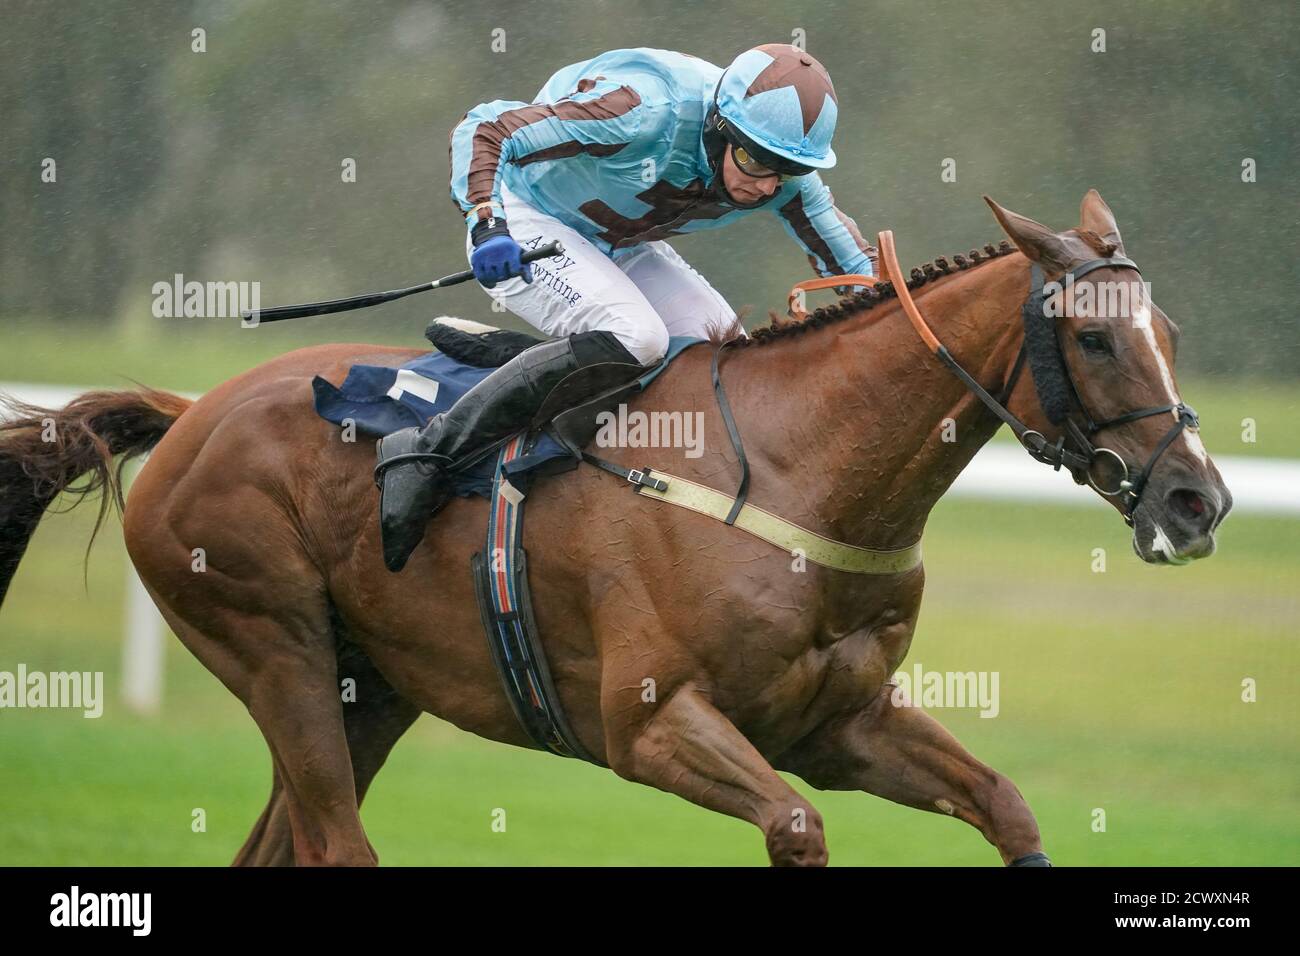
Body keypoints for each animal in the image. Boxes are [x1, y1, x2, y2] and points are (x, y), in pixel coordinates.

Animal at [0, 191, 1227, 863]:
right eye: (1097, 339)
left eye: (1167, 328)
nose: (1198, 498)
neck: (797, 472)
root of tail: (192, 410)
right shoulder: (648, 725)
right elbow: (794, 828)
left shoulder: (840, 724)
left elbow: (1006, 803)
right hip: (276, 648)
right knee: (337, 842)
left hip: (371, 688)